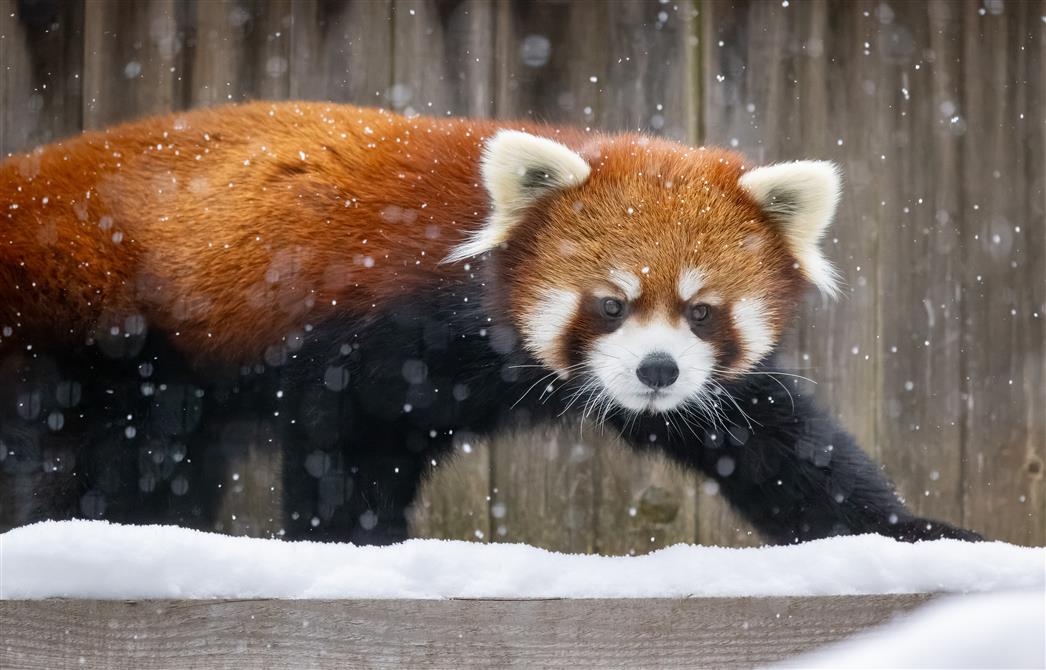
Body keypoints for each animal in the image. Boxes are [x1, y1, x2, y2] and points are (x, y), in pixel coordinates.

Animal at [2, 101, 979, 543]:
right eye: (611, 303)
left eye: (701, 313)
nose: (657, 370)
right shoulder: (362, 341)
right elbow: (337, 451)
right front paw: (352, 550)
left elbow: (781, 446)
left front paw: (916, 534)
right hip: (75, 323)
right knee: (78, 449)